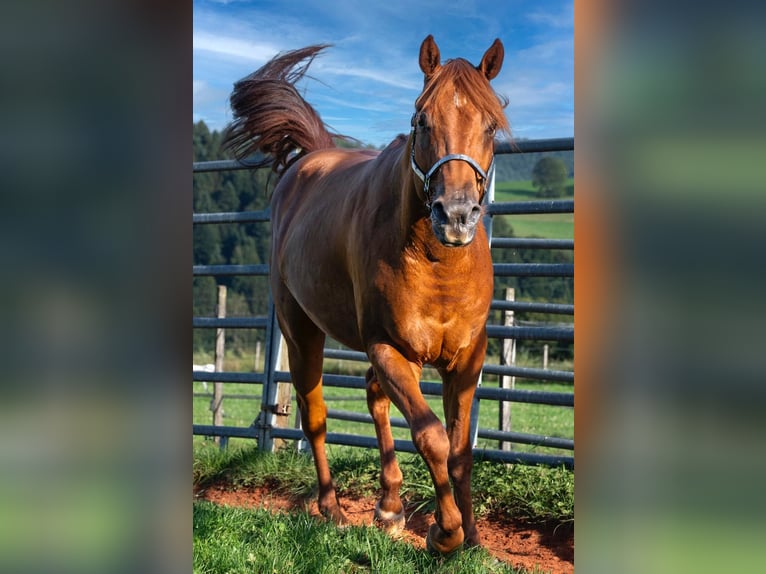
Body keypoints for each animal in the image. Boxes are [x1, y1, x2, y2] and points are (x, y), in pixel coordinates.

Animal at [224, 37, 510, 560]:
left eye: (491, 124)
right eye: (422, 119)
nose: (456, 215)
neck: (437, 262)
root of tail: (310, 159)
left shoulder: (467, 359)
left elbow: (460, 452)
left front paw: (474, 538)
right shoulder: (388, 347)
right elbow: (433, 438)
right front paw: (445, 533)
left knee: (373, 395)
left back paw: (390, 507)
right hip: (302, 332)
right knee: (315, 415)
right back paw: (332, 509)